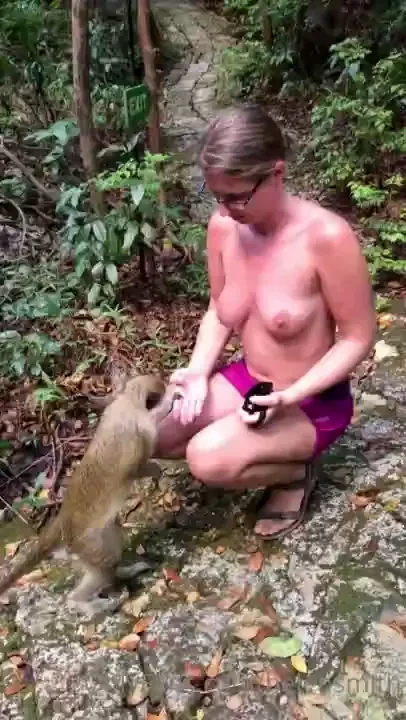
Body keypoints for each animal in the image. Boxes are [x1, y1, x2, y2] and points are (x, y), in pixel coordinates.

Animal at [0, 374, 179, 617]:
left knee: (111, 551)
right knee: (104, 563)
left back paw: (123, 572)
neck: (127, 402)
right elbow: (133, 468)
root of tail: (63, 521)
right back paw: (83, 601)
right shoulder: (140, 428)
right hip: (86, 544)